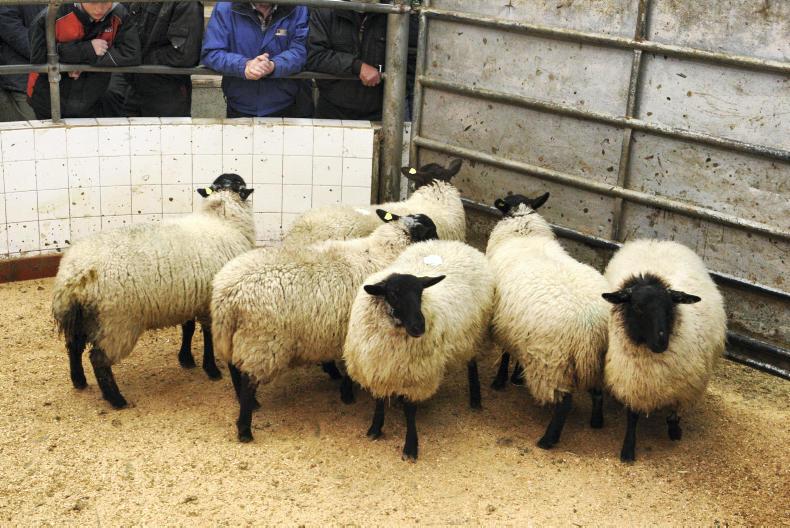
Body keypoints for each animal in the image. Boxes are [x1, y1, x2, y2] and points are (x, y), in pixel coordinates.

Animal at [52, 174, 255, 409]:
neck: (223, 219)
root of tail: (75, 276)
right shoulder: (208, 301)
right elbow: (207, 335)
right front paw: (211, 369)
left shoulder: (188, 296)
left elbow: (188, 328)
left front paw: (186, 359)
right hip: (116, 323)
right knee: (98, 359)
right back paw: (116, 399)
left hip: (81, 319)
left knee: (73, 347)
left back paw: (79, 381)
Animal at [211, 210, 439, 442]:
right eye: (431, 231)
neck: (381, 253)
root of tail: (226, 292)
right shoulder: (351, 332)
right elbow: (347, 368)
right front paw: (346, 393)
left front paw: (334, 375)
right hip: (262, 342)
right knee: (248, 379)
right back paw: (245, 428)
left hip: (232, 336)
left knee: (234, 368)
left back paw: (246, 401)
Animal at [343, 239, 494, 461]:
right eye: (393, 294)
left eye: (420, 292)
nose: (419, 327)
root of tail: (455, 243)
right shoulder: (378, 368)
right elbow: (379, 401)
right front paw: (375, 428)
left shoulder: (416, 375)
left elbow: (410, 412)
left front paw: (410, 447)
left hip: (473, 335)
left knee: (472, 363)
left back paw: (475, 398)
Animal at [486, 193, 611, 449]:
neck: (523, 231)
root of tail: (591, 324)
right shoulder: (519, 327)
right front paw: (517, 377)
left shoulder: (503, 321)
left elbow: (506, 353)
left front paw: (502, 380)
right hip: (598, 360)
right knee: (597, 392)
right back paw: (596, 422)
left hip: (553, 362)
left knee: (564, 403)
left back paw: (548, 439)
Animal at [601, 239, 726, 463]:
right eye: (638, 307)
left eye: (669, 308)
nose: (661, 343)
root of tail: (657, 241)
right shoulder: (633, 381)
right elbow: (632, 417)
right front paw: (628, 450)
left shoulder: (685, 386)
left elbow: (675, 411)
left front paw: (675, 430)